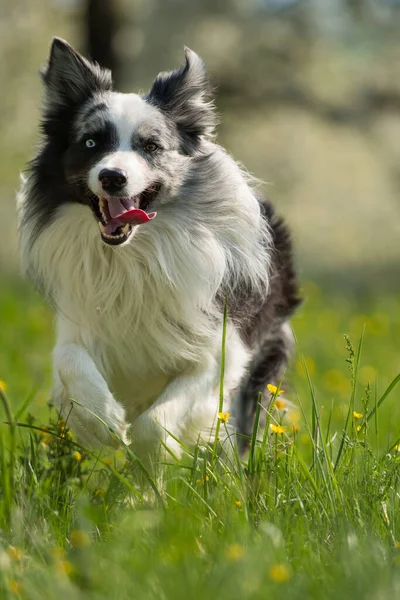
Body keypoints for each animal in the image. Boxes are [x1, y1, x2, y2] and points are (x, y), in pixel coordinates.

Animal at [18, 38, 300, 464]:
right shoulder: (80, 325)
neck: (134, 256)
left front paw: (151, 451)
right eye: (91, 142)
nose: (112, 177)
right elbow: (68, 360)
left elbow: (154, 424)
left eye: (150, 146)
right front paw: (103, 422)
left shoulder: (221, 351)